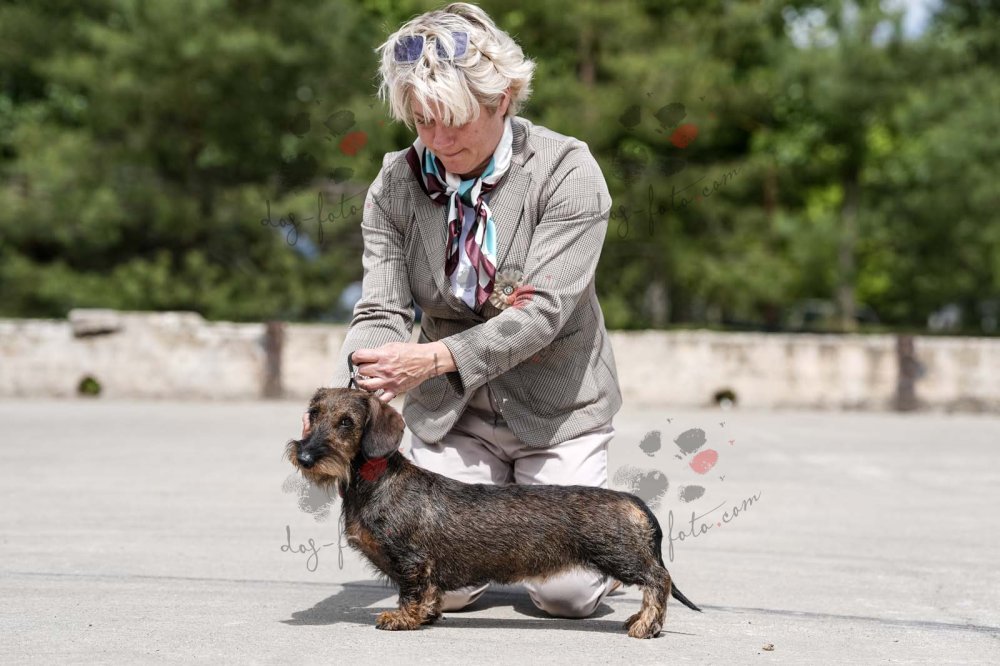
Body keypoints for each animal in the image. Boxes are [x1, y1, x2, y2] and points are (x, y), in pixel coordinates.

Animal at [286, 387, 701, 638]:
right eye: (313, 413)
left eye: (346, 422)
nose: (304, 456)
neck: (376, 479)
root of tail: (632, 500)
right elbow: (431, 594)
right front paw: (429, 614)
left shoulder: (411, 561)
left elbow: (411, 592)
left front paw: (402, 618)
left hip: (620, 556)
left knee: (658, 580)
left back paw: (645, 624)